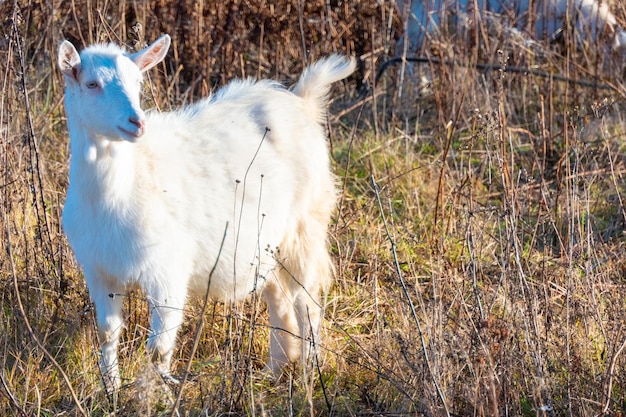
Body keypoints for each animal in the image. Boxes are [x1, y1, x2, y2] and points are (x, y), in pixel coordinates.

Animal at [58, 35, 354, 390]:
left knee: (306, 301)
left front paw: (155, 394)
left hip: (305, 228)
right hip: (267, 246)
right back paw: (273, 371)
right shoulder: (100, 270)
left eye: (137, 82)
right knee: (279, 298)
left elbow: (158, 348)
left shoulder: (168, 270)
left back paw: (311, 373)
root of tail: (302, 101)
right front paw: (111, 389)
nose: (137, 122)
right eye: (92, 83)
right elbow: (107, 333)